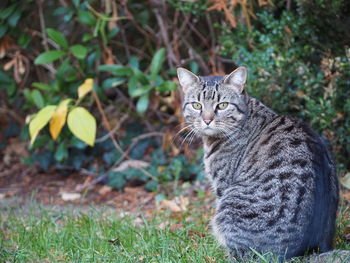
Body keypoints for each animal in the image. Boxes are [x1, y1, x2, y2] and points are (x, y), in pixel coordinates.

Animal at [178, 66, 340, 262]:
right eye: (197, 105)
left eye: (222, 105)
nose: (207, 120)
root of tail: (308, 251)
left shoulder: (222, 186)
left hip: (228, 206)